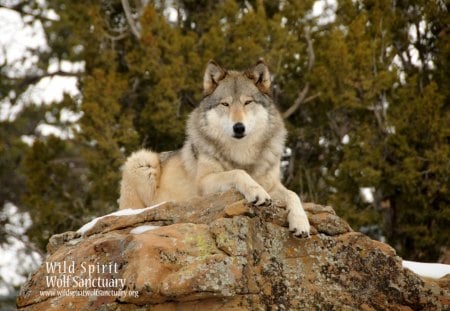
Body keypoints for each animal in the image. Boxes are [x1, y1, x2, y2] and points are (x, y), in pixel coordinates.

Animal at [118, 60, 312, 236]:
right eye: (225, 104)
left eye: (247, 102)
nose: (238, 127)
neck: (242, 153)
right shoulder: (204, 183)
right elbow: (238, 172)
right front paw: (256, 192)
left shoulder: (273, 184)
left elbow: (293, 194)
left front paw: (301, 223)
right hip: (142, 160)